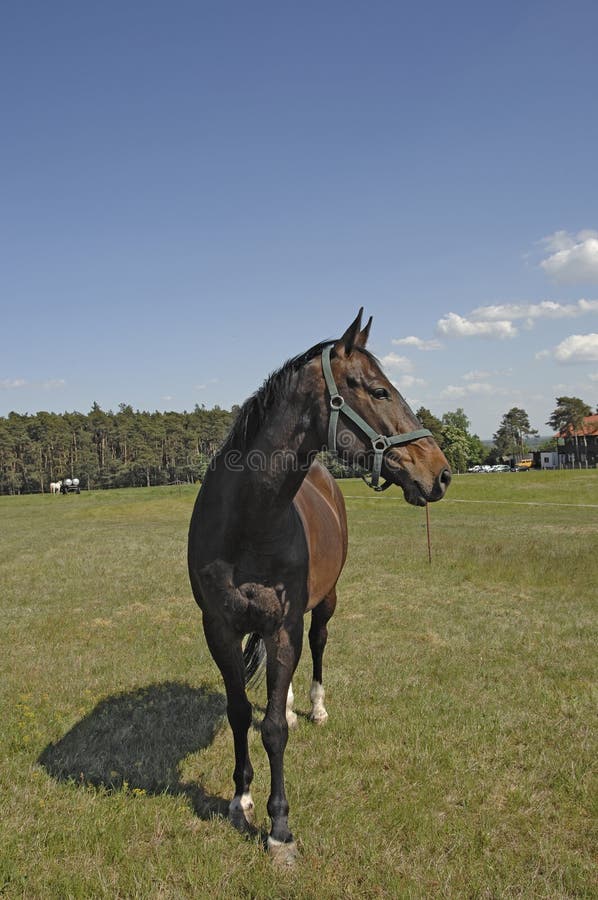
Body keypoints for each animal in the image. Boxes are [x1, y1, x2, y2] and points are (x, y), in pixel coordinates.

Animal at [188, 312, 450, 864]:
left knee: (319, 644)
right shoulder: (219, 628)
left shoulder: (285, 622)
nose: (440, 473)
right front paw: (240, 799)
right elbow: (241, 713)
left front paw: (279, 828)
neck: (248, 522)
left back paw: (315, 706)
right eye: (378, 389)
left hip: (324, 604)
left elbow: (273, 729)